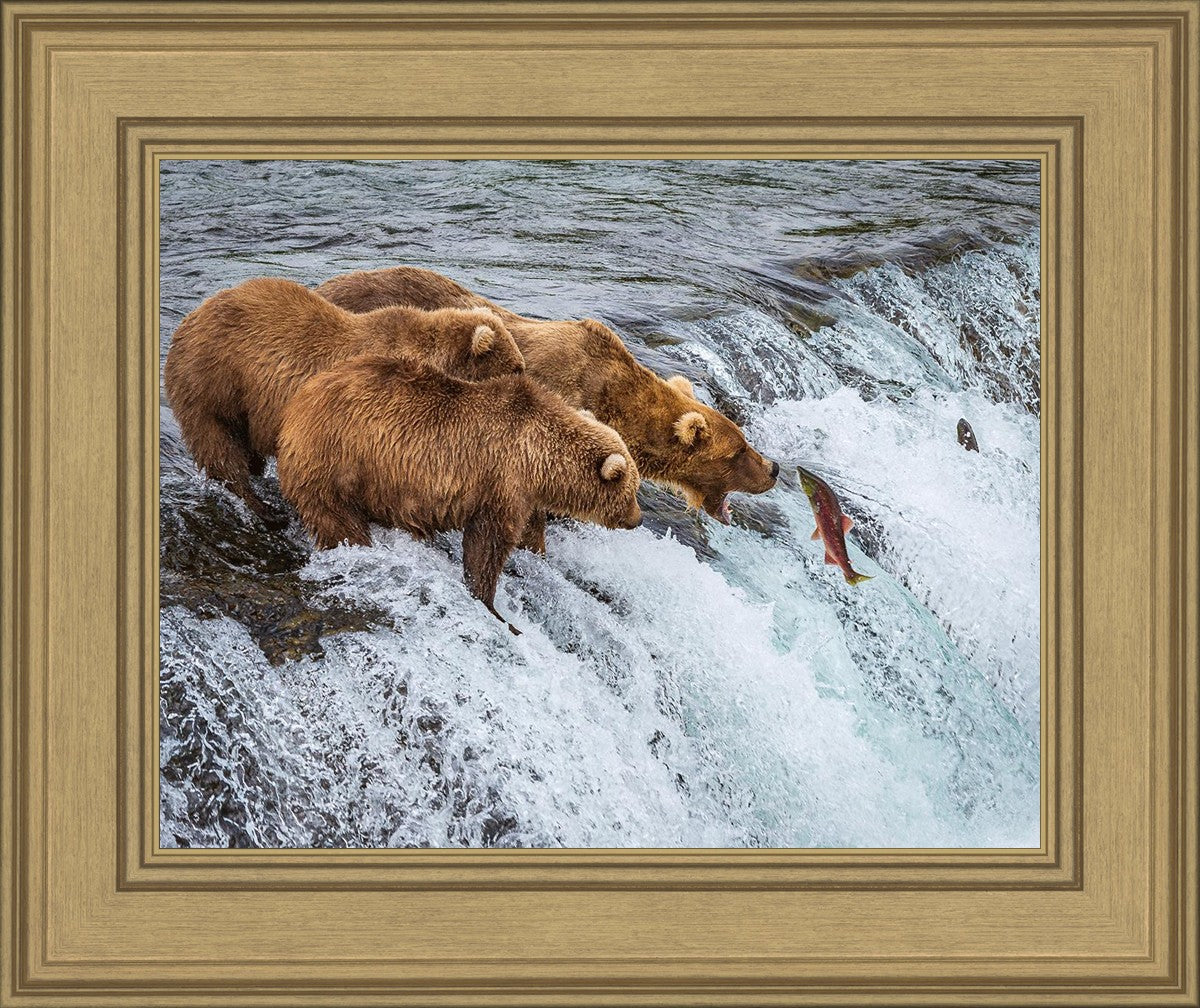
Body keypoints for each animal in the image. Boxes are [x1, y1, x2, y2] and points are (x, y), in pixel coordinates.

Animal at [163, 276, 525, 522]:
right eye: (517, 367)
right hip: (213, 382)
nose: (527, 382)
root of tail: (188, 320)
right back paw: (260, 506)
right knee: (219, 446)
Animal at [275, 353, 643, 632]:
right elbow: (487, 545)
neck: (540, 458)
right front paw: (494, 607)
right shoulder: (501, 481)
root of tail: (297, 404)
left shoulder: (524, 494)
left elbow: (528, 533)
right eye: (632, 490)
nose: (637, 519)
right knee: (338, 521)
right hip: (337, 462)